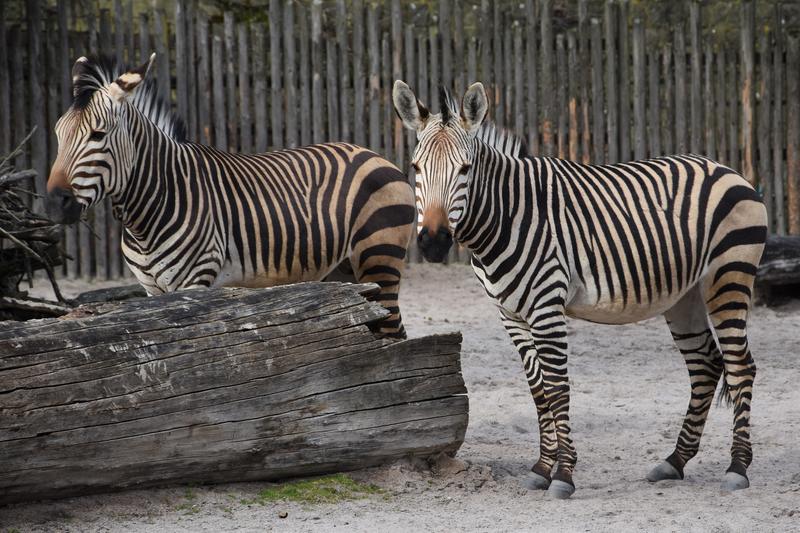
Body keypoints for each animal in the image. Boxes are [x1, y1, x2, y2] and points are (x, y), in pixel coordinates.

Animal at [45, 54, 415, 339]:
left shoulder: (194, 283)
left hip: (379, 259)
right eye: (57, 135)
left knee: (393, 334)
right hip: (344, 271)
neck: (156, 203)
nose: (54, 203)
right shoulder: (151, 288)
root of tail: (373, 153)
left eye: (98, 135)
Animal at [393, 80, 767, 498]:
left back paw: (737, 468)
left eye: (465, 169)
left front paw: (564, 475)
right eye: (416, 168)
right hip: (683, 296)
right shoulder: (510, 314)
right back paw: (675, 461)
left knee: (740, 366)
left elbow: (558, 388)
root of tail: (727, 169)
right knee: (705, 364)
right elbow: (538, 390)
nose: (433, 243)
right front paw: (542, 468)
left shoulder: (547, 307)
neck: (506, 216)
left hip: (728, 277)